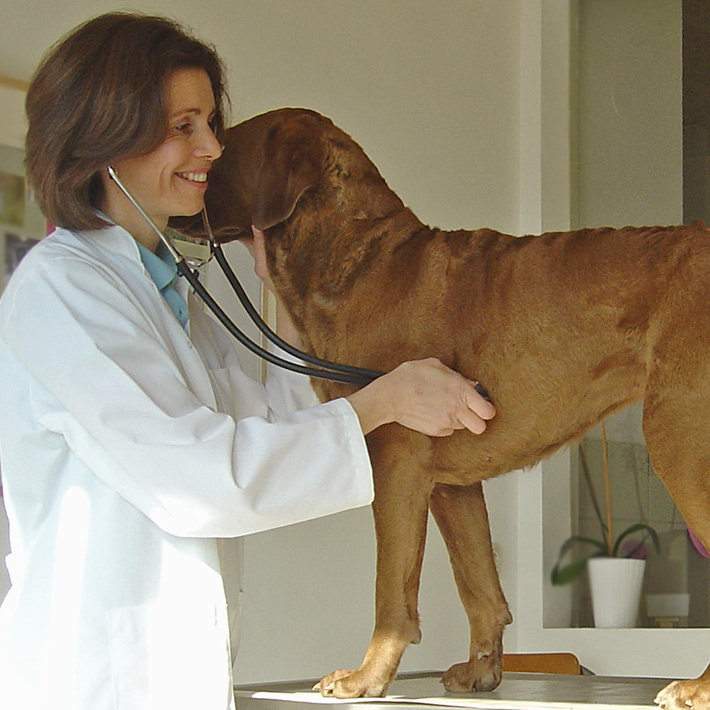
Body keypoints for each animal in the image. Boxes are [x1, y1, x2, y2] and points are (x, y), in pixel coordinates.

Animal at [185, 108, 710, 708]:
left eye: (221, 147)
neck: (356, 258)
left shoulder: (395, 461)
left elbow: (391, 590)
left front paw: (366, 677)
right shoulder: (450, 484)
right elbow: (478, 584)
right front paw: (482, 673)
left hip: (679, 439)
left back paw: (696, 687)